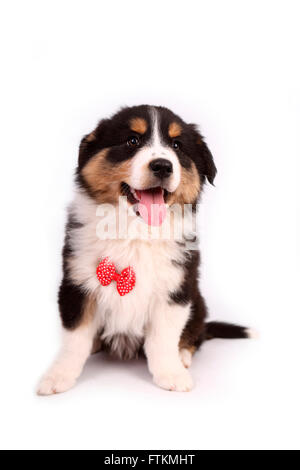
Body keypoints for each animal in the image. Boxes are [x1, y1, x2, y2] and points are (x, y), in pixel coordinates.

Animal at [37, 104, 250, 394]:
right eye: (132, 141)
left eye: (176, 145)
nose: (162, 165)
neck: (136, 231)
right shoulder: (76, 283)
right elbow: (74, 338)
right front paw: (58, 376)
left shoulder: (176, 288)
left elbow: (163, 338)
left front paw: (171, 373)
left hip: (198, 302)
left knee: (196, 335)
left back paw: (183, 355)